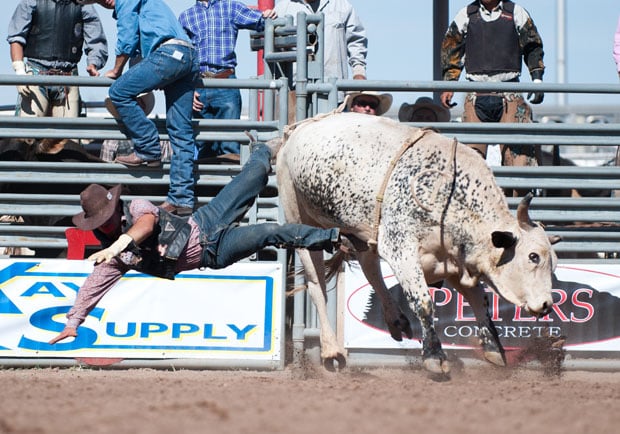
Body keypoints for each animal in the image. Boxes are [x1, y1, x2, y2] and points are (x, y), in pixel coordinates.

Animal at [274, 113, 560, 374]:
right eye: (533, 256)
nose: (547, 304)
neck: (448, 193)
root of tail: (299, 128)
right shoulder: (401, 247)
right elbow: (423, 302)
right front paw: (435, 356)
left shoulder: (454, 259)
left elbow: (479, 301)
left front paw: (494, 349)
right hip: (299, 218)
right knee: (317, 284)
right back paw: (332, 350)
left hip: (363, 231)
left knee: (370, 267)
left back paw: (396, 320)